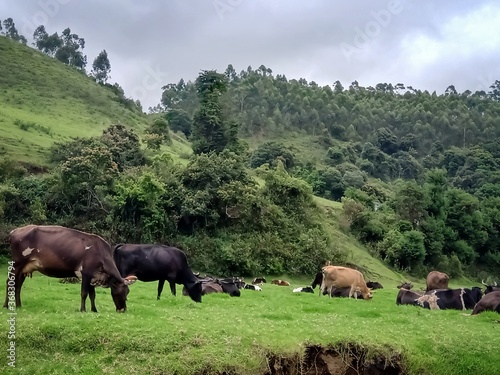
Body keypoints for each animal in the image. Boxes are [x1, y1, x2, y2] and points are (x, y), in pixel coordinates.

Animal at [2, 225, 137, 312]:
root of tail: (14, 231)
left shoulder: (93, 276)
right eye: (120, 292)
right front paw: (83, 310)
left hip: (24, 268)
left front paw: (94, 310)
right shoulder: (86, 273)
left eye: (128, 292)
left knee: (18, 285)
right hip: (17, 263)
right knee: (9, 282)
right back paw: (6, 306)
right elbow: (84, 293)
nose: (123, 310)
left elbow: (92, 295)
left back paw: (18, 305)